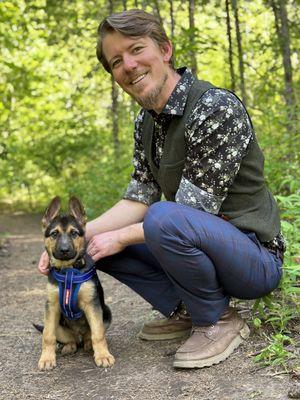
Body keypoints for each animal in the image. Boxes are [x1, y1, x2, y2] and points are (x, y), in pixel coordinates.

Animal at [38, 198, 115, 370]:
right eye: (54, 234)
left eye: (74, 233)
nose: (65, 250)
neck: (69, 271)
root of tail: (78, 336)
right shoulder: (51, 306)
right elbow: (48, 336)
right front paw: (46, 359)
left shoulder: (92, 304)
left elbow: (98, 334)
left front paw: (103, 356)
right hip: (59, 325)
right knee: (68, 339)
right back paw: (69, 346)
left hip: (106, 313)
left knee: (89, 336)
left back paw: (88, 345)